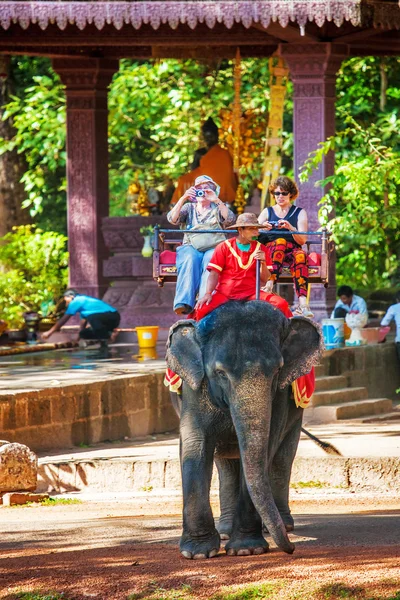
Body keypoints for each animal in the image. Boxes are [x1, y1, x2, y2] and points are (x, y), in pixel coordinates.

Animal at [166, 302, 322, 560]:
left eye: (278, 370)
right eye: (219, 372)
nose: (291, 549)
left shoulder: (280, 396)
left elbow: (266, 447)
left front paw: (247, 549)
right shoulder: (194, 389)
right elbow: (195, 444)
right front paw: (197, 553)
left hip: (296, 413)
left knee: (282, 459)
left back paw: (282, 525)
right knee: (227, 465)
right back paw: (226, 530)